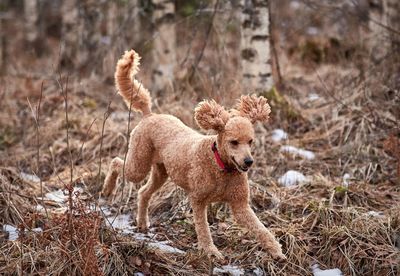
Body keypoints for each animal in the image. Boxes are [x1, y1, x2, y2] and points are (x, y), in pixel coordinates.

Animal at [101, 50, 286, 260]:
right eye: (234, 142)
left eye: (251, 141)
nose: (248, 161)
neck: (221, 166)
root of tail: (150, 115)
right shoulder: (198, 200)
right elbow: (203, 228)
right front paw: (210, 251)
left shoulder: (240, 205)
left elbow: (260, 228)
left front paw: (276, 251)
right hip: (139, 164)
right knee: (117, 162)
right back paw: (107, 189)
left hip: (161, 172)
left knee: (143, 192)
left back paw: (142, 222)